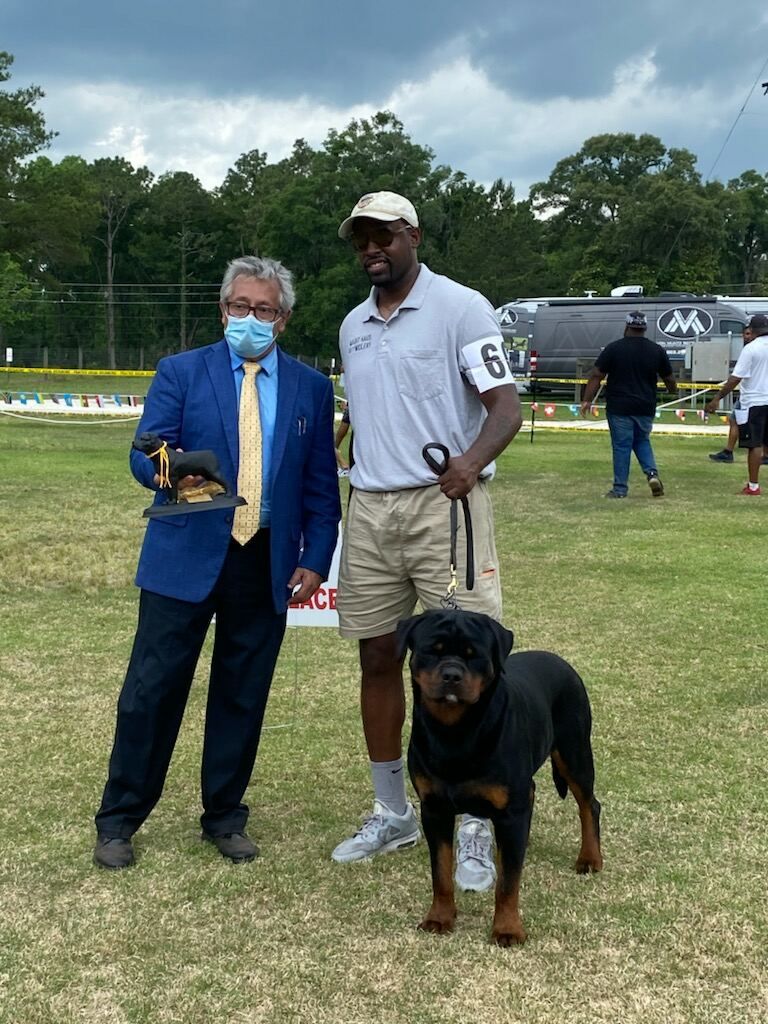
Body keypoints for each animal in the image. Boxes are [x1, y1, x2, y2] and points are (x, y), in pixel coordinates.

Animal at [396, 608, 603, 946]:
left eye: (474, 655)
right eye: (432, 650)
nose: (451, 674)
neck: (456, 731)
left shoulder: (514, 808)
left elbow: (508, 880)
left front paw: (507, 929)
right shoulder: (434, 808)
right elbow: (440, 872)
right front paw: (439, 917)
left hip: (574, 751)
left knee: (589, 804)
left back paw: (590, 858)